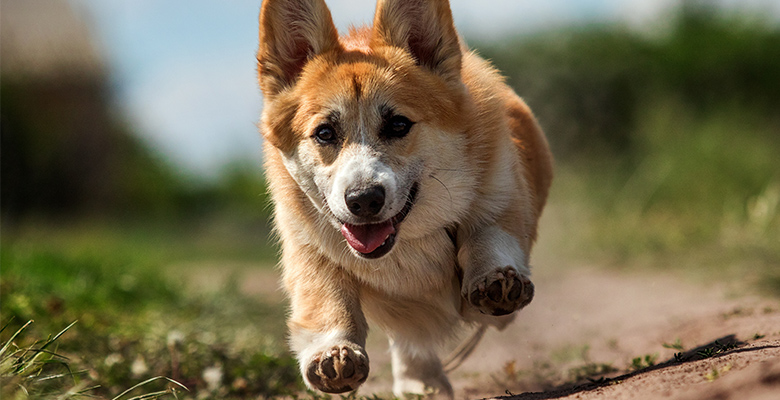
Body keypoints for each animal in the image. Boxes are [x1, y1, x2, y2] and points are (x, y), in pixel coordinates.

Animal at [258, 0, 552, 396]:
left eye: (398, 124)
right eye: (324, 133)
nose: (363, 200)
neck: (406, 244)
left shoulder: (498, 202)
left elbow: (488, 237)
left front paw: (497, 278)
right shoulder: (308, 249)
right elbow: (325, 300)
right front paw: (333, 352)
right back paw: (419, 381)